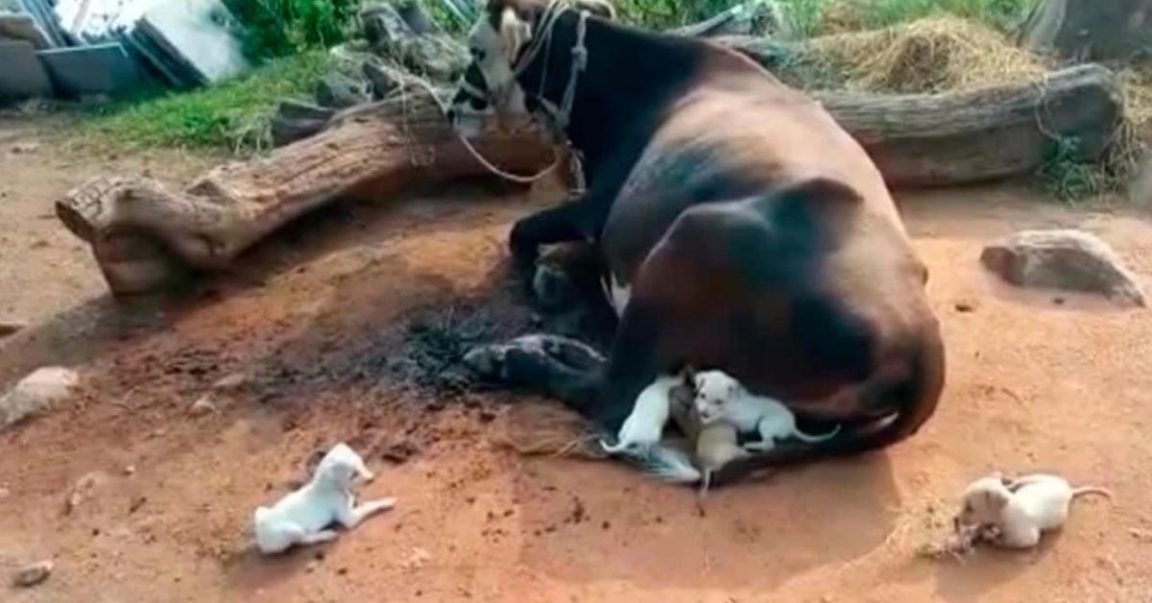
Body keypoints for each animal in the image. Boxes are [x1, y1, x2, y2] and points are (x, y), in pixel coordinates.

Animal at [252, 442, 396, 558]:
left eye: (361, 463)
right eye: (353, 474)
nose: (372, 479)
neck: (329, 487)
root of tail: (260, 533)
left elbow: (353, 500)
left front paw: (352, 498)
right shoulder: (349, 519)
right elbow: (370, 505)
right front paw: (387, 501)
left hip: (262, 510)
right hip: (292, 529)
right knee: (303, 540)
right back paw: (325, 534)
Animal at [686, 371, 843, 449]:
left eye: (719, 402)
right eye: (702, 395)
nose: (703, 412)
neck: (733, 401)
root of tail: (792, 426)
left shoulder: (730, 415)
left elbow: (716, 417)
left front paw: (704, 418)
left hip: (765, 423)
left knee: (769, 445)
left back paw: (751, 445)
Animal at [953, 472, 1115, 551]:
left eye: (970, 508)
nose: (956, 518)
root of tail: (1069, 489)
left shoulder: (1028, 538)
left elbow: (1007, 541)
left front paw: (992, 538)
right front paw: (979, 532)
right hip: (1034, 477)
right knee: (1017, 482)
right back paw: (1008, 481)